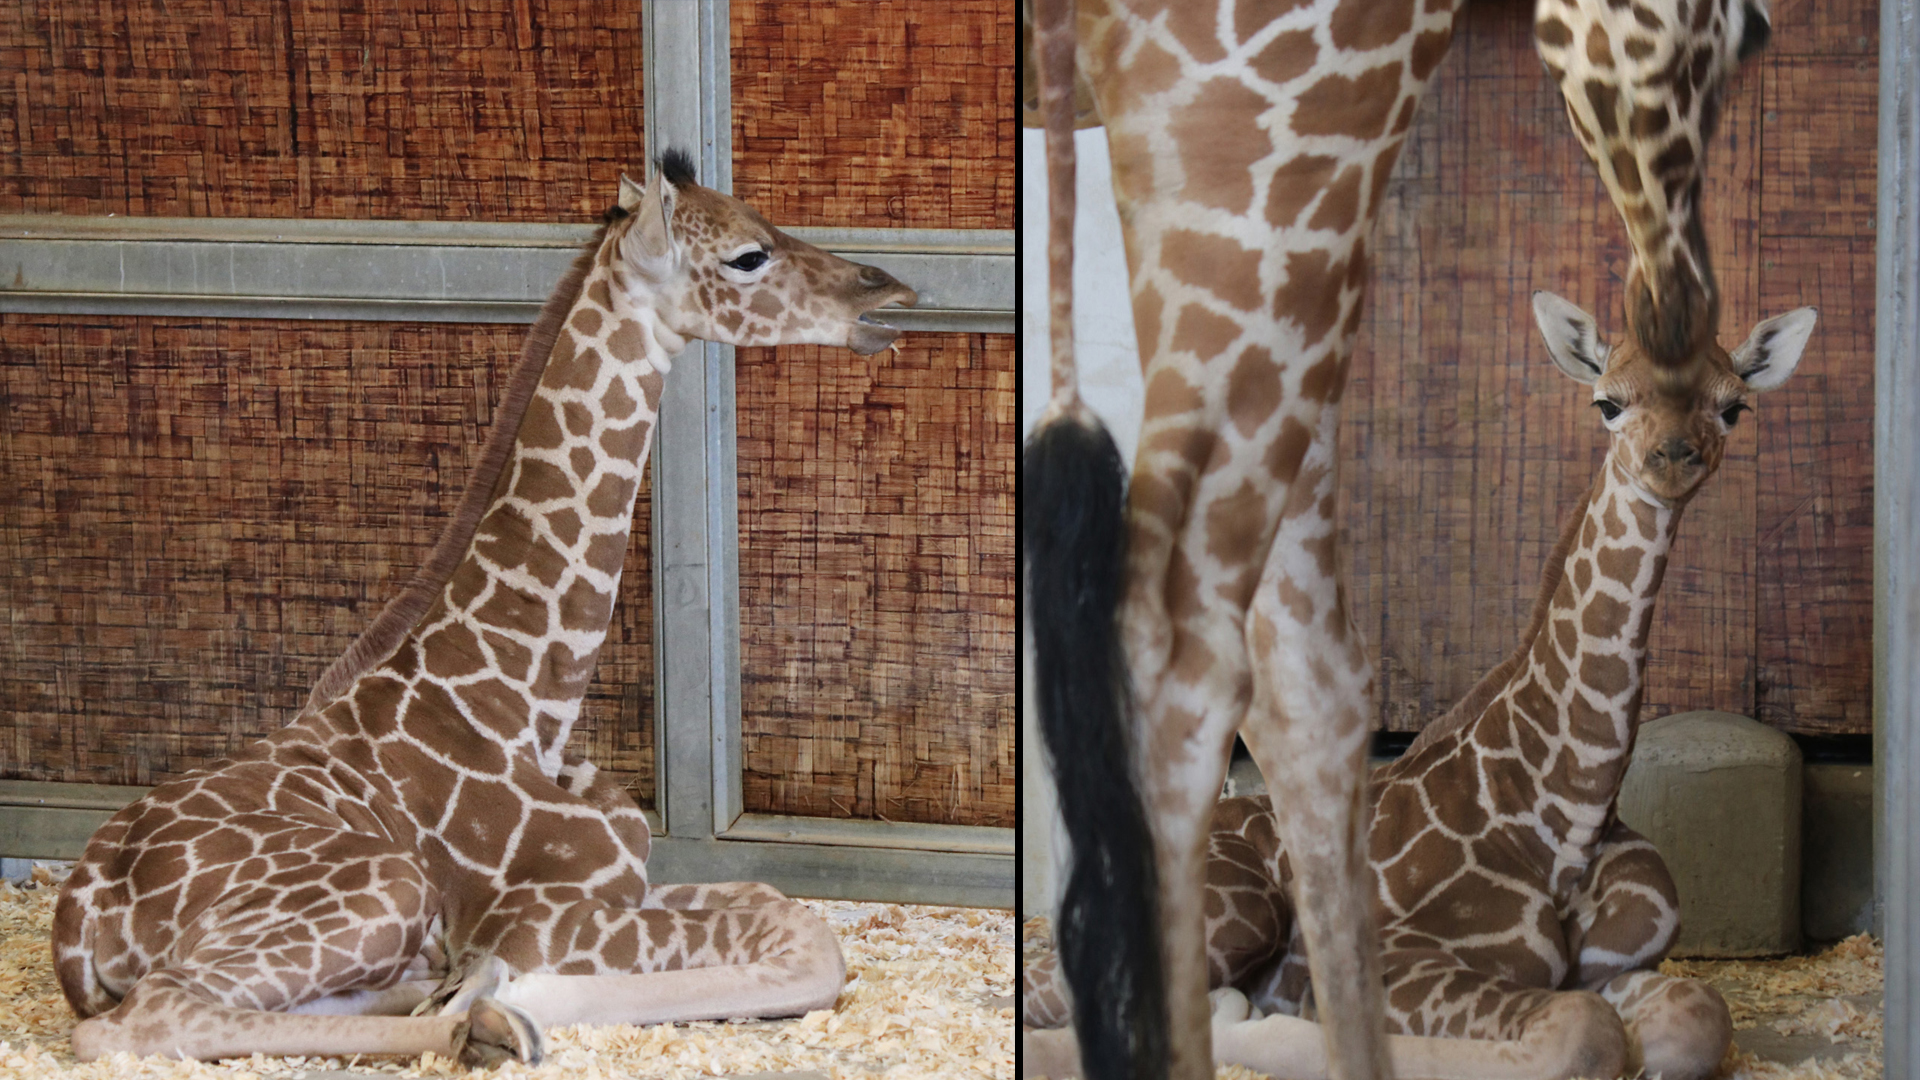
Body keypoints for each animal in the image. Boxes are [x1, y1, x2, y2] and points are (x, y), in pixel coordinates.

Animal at [52, 149, 919, 1066]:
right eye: (749, 256)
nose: (891, 292)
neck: (523, 696)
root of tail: (80, 916)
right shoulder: (543, 915)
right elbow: (812, 941)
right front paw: (516, 993)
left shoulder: (630, 879)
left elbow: (778, 901)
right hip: (383, 885)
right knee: (145, 1017)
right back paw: (482, 1020)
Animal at [1025, 290, 1818, 1080]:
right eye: (1608, 402)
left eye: (1733, 407)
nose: (1673, 458)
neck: (1570, 810)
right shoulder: (1403, 959)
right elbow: (1577, 1035)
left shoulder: (1620, 964)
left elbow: (1696, 1017)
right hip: (1236, 908)